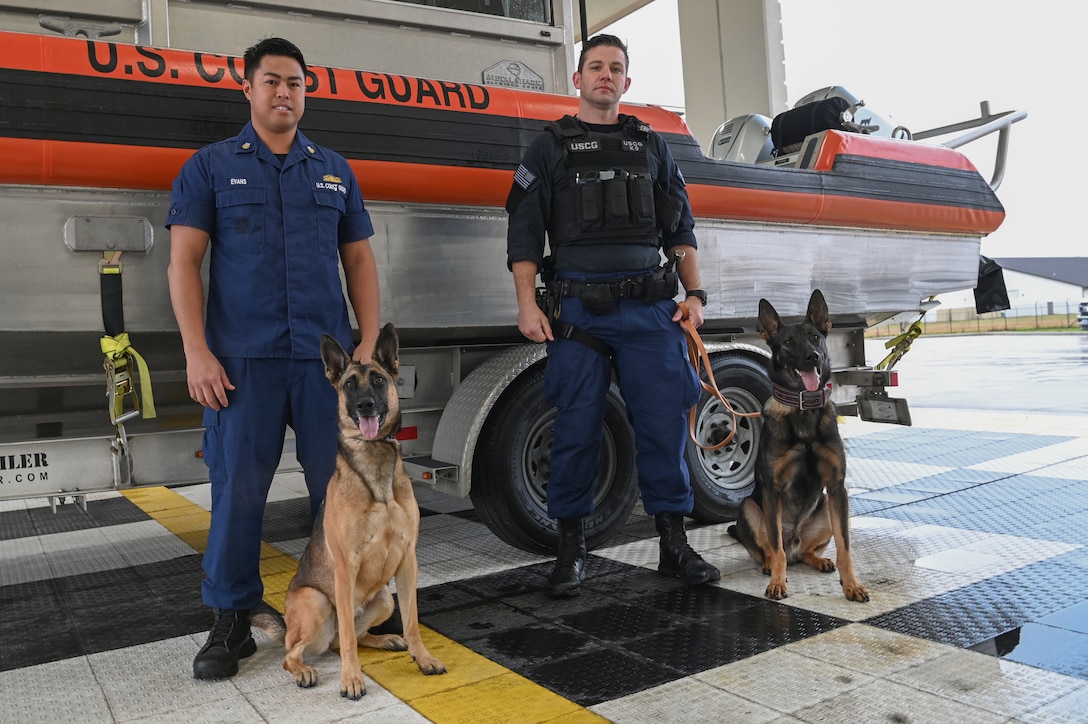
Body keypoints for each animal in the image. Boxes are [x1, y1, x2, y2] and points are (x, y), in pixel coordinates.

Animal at [252, 322, 443, 696]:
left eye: (380, 380)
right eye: (349, 385)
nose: (365, 405)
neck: (374, 461)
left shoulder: (408, 560)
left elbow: (412, 621)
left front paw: (423, 658)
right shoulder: (345, 566)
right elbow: (350, 645)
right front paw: (351, 679)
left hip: (384, 598)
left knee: (348, 637)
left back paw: (385, 640)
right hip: (318, 602)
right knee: (301, 650)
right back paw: (304, 670)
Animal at [726, 291, 870, 600]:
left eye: (815, 337)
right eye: (788, 342)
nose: (812, 356)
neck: (803, 407)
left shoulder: (837, 488)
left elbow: (845, 547)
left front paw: (851, 584)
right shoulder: (772, 490)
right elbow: (775, 545)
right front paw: (777, 583)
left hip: (827, 507)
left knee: (805, 552)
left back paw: (819, 560)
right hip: (749, 508)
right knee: (773, 548)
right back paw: (770, 565)